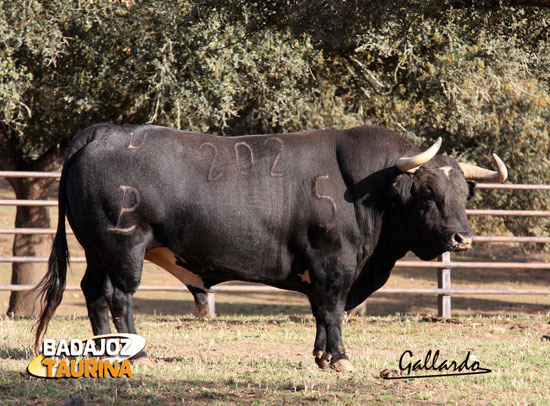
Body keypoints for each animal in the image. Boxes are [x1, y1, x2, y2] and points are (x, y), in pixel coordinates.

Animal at [34, 123, 508, 372]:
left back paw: (107, 351)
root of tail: (105, 132)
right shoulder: (333, 262)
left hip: (96, 250)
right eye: (428, 192)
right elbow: (333, 310)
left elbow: (320, 312)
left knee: (93, 292)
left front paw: (321, 356)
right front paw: (340, 359)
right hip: (124, 248)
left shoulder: (323, 270)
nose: (462, 238)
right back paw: (138, 351)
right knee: (118, 297)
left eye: (465, 193)